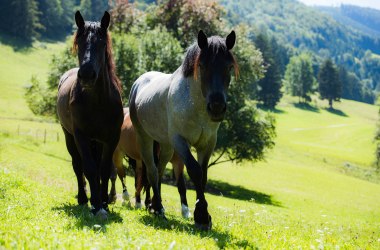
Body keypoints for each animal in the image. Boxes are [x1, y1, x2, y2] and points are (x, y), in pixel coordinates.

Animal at [56, 10, 123, 219]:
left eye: (102, 43)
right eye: (80, 41)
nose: (86, 74)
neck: (98, 102)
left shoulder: (111, 138)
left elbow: (104, 169)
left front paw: (104, 203)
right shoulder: (81, 136)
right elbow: (90, 168)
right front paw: (95, 205)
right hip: (69, 137)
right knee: (78, 166)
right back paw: (83, 198)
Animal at [131, 30, 238, 229]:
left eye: (228, 67)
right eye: (202, 65)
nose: (217, 107)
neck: (196, 105)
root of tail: (139, 82)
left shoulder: (207, 144)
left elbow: (203, 176)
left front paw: (202, 215)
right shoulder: (181, 141)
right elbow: (195, 171)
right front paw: (201, 215)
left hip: (166, 145)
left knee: (159, 170)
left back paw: (155, 206)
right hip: (145, 138)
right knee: (152, 171)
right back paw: (158, 209)